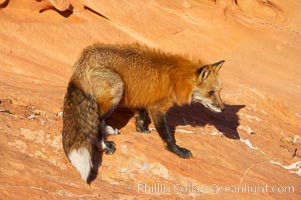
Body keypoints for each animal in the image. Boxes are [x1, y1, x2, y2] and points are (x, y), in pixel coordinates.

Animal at [62, 43, 224, 181]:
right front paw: (177, 151)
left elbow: (141, 115)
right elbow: (168, 136)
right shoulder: (157, 108)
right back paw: (104, 145)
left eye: (219, 91)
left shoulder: (141, 98)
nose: (223, 108)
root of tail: (85, 55)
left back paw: (109, 130)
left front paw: (141, 129)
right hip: (117, 89)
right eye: (211, 93)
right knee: (96, 122)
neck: (177, 80)